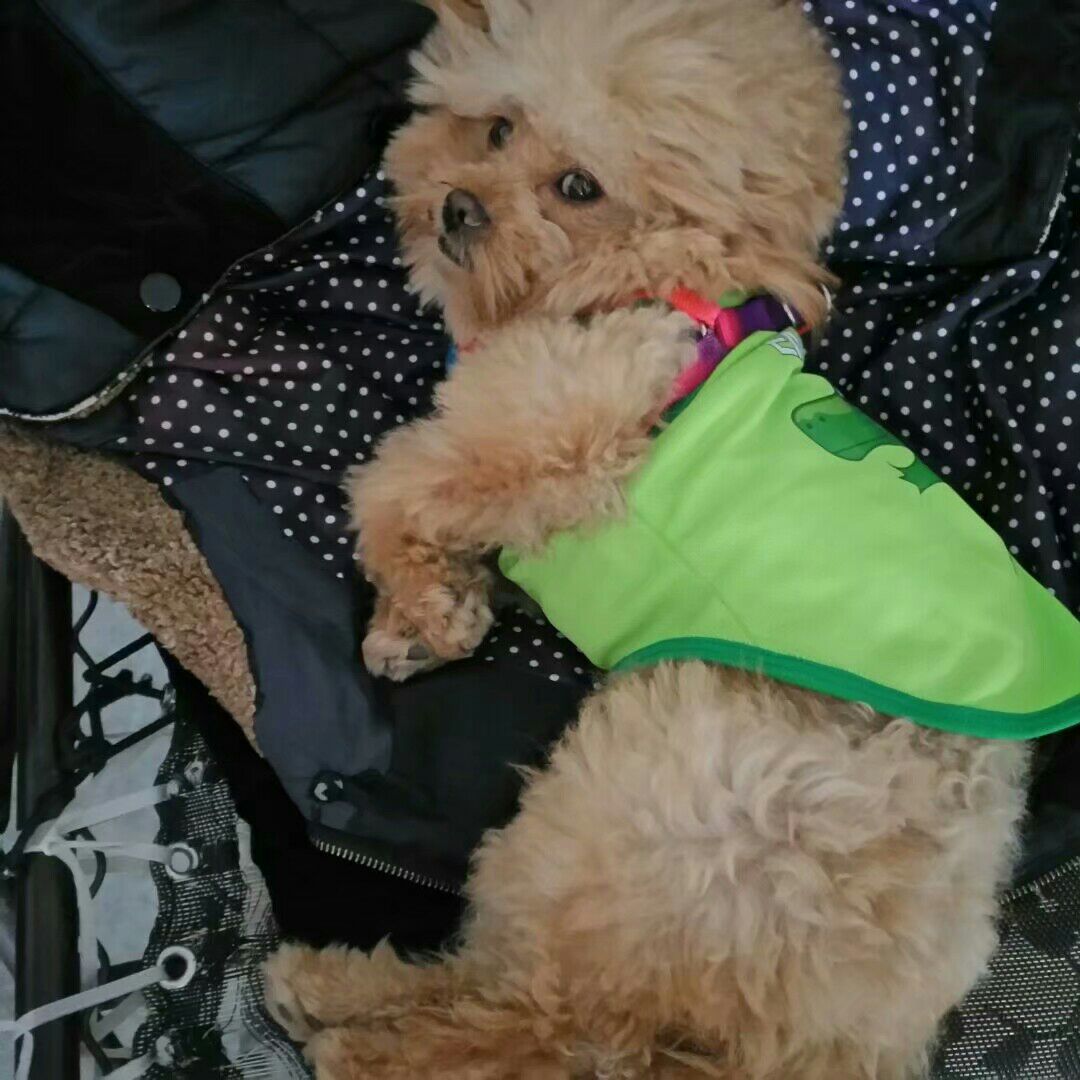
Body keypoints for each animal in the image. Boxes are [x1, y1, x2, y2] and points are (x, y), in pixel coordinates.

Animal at [265, 1, 1029, 1075]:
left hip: (630, 817)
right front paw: (443, 616)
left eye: (579, 187)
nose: (459, 207)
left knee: (536, 1021)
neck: (636, 282)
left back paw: (346, 1024)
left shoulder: (541, 439)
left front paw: (411, 615)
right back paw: (332, 994)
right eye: (497, 127)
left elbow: (389, 489)